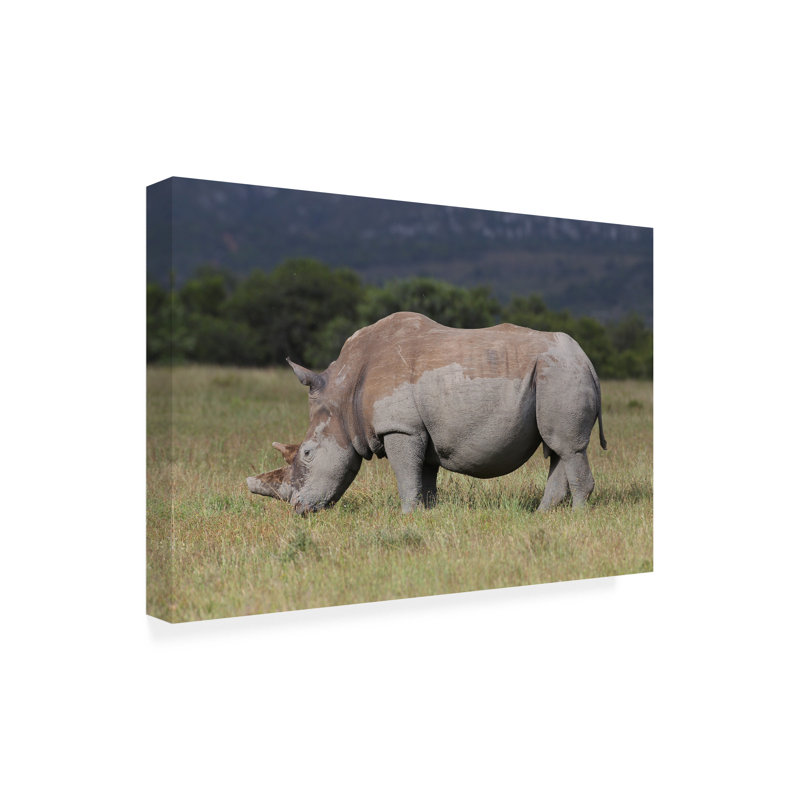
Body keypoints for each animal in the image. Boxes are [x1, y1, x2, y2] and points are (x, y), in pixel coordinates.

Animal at [247, 311, 607, 514]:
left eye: (307, 453)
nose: (297, 511)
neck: (344, 397)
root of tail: (588, 361)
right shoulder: (423, 431)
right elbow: (425, 477)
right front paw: (429, 515)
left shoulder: (400, 427)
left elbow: (406, 474)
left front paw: (406, 516)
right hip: (555, 373)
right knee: (558, 448)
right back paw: (542, 516)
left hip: (559, 372)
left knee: (567, 447)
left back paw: (576, 518)